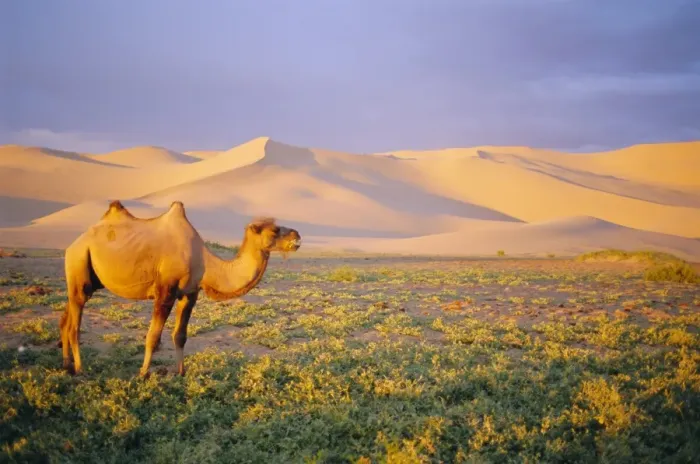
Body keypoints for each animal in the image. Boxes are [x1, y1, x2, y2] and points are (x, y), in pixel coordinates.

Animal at [59, 200, 301, 377]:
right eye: (275, 230)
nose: (297, 235)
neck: (204, 261)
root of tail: (74, 244)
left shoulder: (190, 294)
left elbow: (180, 335)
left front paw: (180, 372)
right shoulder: (165, 292)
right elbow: (153, 336)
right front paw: (143, 374)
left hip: (88, 279)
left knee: (66, 318)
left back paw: (67, 365)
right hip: (79, 262)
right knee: (74, 325)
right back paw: (80, 369)